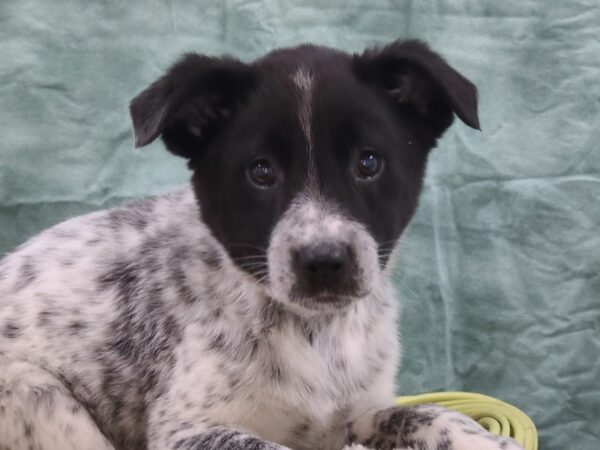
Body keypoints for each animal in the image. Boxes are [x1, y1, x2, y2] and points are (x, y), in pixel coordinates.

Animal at [0, 39, 524, 450]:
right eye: (261, 171)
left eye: (369, 162)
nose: (324, 261)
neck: (316, 334)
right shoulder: (185, 431)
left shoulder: (356, 412)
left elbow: (420, 414)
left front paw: (484, 439)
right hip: (34, 390)